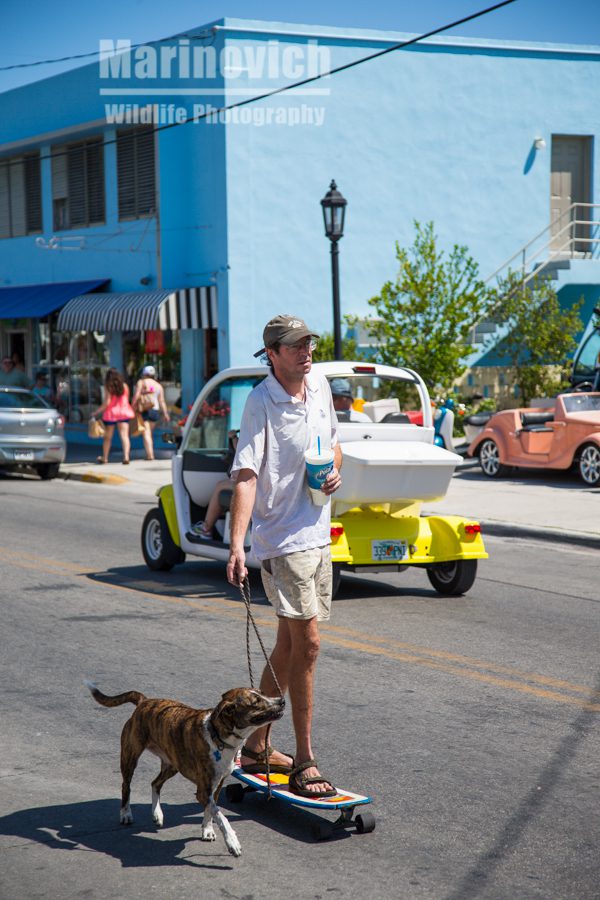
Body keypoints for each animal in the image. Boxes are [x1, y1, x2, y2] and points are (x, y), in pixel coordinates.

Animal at [85, 684, 284, 856]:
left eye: (262, 693)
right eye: (255, 702)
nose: (282, 700)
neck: (219, 738)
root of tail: (144, 702)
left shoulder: (217, 784)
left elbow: (211, 810)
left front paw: (207, 830)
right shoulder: (203, 790)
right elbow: (221, 816)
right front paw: (232, 842)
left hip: (173, 764)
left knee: (155, 783)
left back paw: (157, 814)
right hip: (130, 755)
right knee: (126, 785)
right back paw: (126, 814)